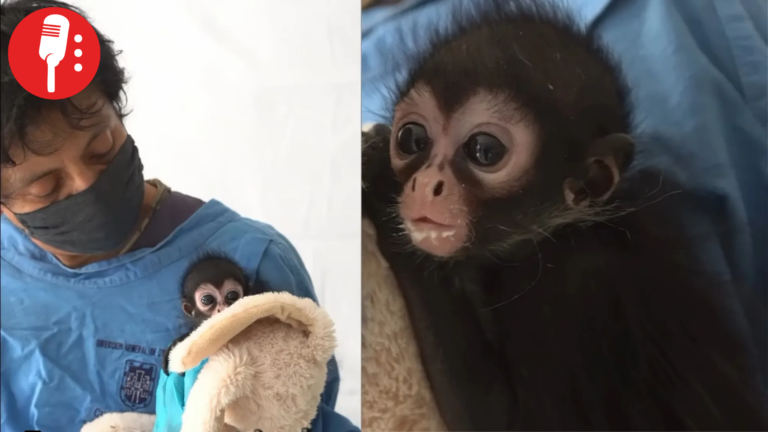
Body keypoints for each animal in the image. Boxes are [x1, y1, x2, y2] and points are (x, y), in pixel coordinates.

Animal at [361, 0, 768, 430]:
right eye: (412, 140)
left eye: (484, 150)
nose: (424, 185)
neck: (549, 237)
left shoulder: (579, 277)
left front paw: (380, 182)